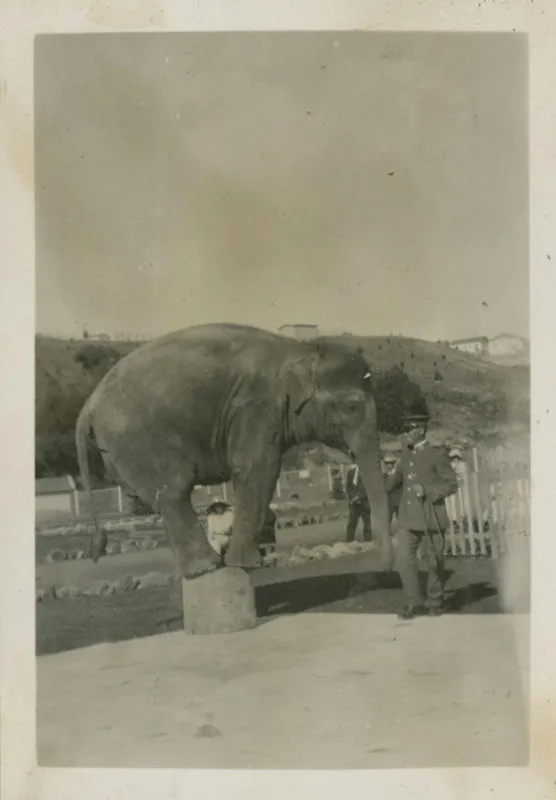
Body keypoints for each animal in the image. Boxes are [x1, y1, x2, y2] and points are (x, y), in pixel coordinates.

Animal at [75, 323, 393, 579]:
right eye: (351, 407)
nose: (384, 567)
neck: (298, 349)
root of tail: (87, 409)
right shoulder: (256, 408)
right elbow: (258, 468)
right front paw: (248, 565)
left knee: (161, 501)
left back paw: (193, 570)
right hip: (140, 443)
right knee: (173, 493)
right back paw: (206, 567)